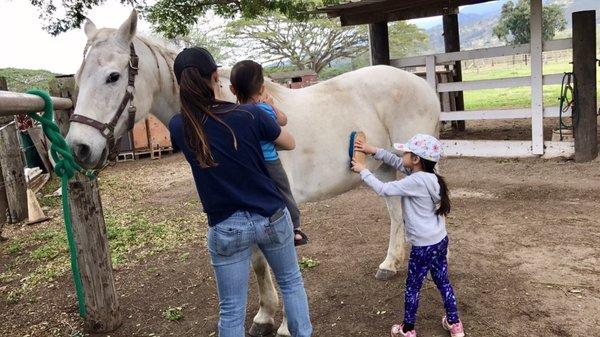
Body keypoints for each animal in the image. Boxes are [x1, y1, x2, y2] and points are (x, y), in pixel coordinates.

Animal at [65, 10, 440, 336]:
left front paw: (286, 326)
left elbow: (281, 264)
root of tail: (421, 83)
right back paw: (390, 264)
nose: (78, 148)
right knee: (396, 214)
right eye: (78, 79)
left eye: (113, 76)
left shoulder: (280, 209)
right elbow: (259, 264)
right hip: (385, 168)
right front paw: (263, 317)